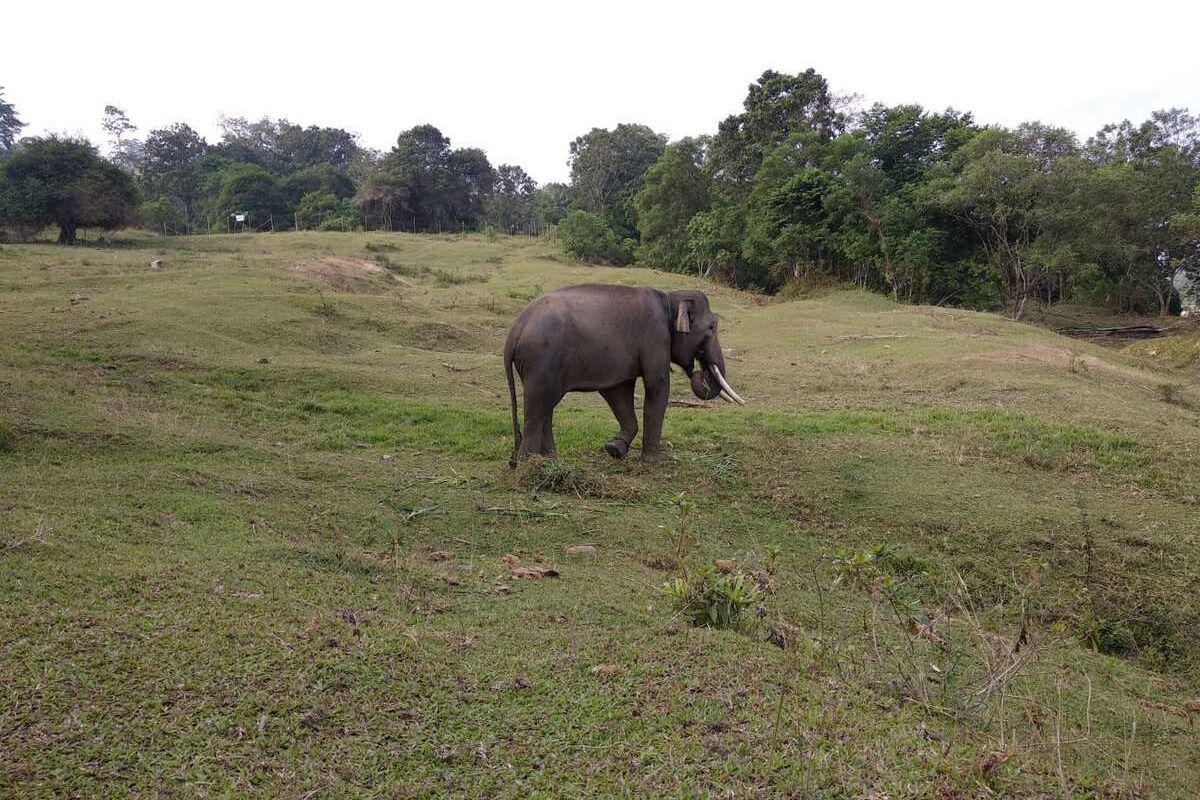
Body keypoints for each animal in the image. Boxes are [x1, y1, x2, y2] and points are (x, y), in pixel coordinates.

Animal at [501, 284, 744, 465]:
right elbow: (657, 385)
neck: (669, 297)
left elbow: (618, 392)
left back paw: (550, 459)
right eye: (711, 327)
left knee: (546, 405)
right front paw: (655, 460)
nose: (699, 371)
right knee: (538, 404)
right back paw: (529, 463)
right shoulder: (655, 337)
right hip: (541, 359)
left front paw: (614, 449)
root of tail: (515, 331)